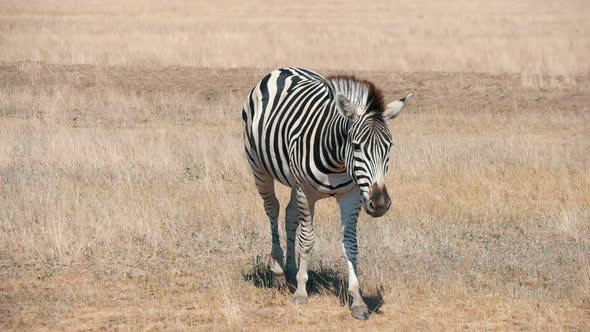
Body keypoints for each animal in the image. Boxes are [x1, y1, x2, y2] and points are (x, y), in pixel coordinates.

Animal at [240, 67, 412, 320]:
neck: (338, 162)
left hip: (292, 183)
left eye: (389, 147)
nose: (380, 203)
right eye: (357, 146)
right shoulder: (305, 192)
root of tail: (283, 69)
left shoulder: (352, 196)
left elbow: (350, 244)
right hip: (259, 168)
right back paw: (279, 270)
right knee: (272, 209)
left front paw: (357, 299)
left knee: (290, 215)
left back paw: (291, 268)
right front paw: (301, 292)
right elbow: (307, 239)